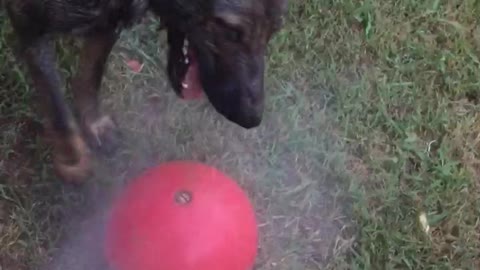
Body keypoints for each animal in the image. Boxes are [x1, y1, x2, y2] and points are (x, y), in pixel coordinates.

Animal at [3, 0, 286, 182]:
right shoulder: (31, 24)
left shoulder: (110, 20)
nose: (251, 119)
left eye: (274, 30)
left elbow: (90, 75)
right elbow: (59, 114)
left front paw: (94, 125)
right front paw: (73, 164)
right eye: (229, 30)